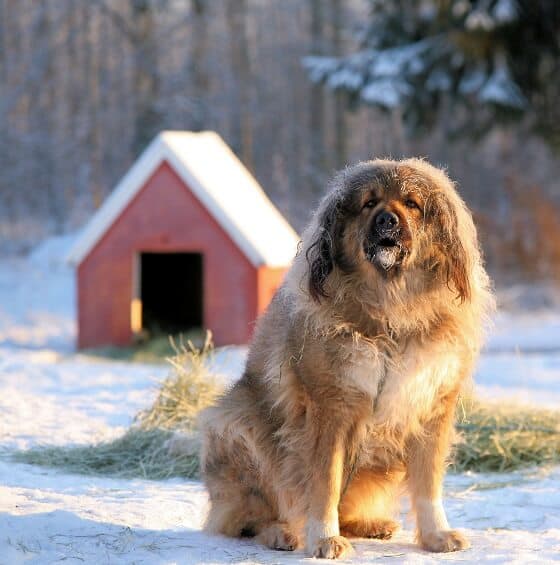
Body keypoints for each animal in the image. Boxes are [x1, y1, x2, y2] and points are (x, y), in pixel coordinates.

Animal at [199, 158, 492, 556]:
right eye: (369, 203)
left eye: (412, 204)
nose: (387, 220)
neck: (391, 312)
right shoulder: (331, 408)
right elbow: (325, 482)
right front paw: (324, 538)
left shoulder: (431, 405)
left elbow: (428, 483)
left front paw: (436, 535)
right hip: (238, 426)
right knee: (246, 517)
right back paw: (281, 533)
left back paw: (371, 524)